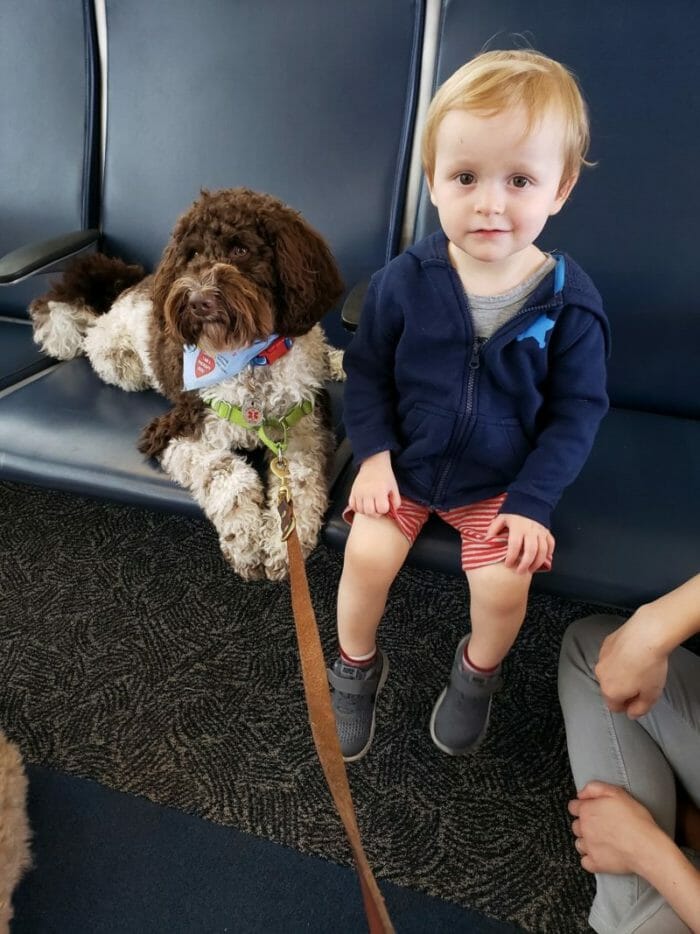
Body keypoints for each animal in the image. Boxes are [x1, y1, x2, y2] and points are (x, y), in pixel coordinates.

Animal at [31, 190, 346, 580]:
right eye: (192, 254)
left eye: (240, 249)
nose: (198, 301)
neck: (251, 361)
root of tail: (131, 289)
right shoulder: (174, 430)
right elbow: (227, 472)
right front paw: (245, 540)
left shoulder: (305, 433)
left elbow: (300, 484)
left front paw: (282, 544)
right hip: (119, 359)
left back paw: (339, 363)